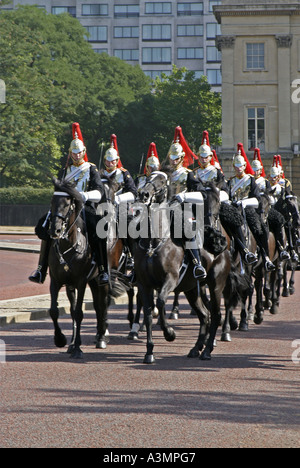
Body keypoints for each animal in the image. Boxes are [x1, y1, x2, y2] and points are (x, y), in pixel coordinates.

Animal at [46, 179, 108, 358]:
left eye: (67, 203)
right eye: (52, 201)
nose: (55, 230)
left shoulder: (81, 282)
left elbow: (79, 313)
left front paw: (78, 348)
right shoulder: (56, 281)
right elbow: (55, 311)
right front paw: (61, 340)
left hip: (101, 280)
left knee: (103, 304)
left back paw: (101, 338)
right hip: (86, 282)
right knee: (93, 306)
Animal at [132, 171, 240, 362]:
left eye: (162, 181)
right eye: (148, 177)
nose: (144, 194)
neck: (153, 243)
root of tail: (224, 248)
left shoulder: (171, 279)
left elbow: (160, 301)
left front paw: (169, 333)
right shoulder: (144, 285)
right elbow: (148, 313)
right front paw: (149, 352)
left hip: (216, 285)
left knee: (216, 314)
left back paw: (207, 350)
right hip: (192, 290)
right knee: (204, 315)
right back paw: (196, 348)